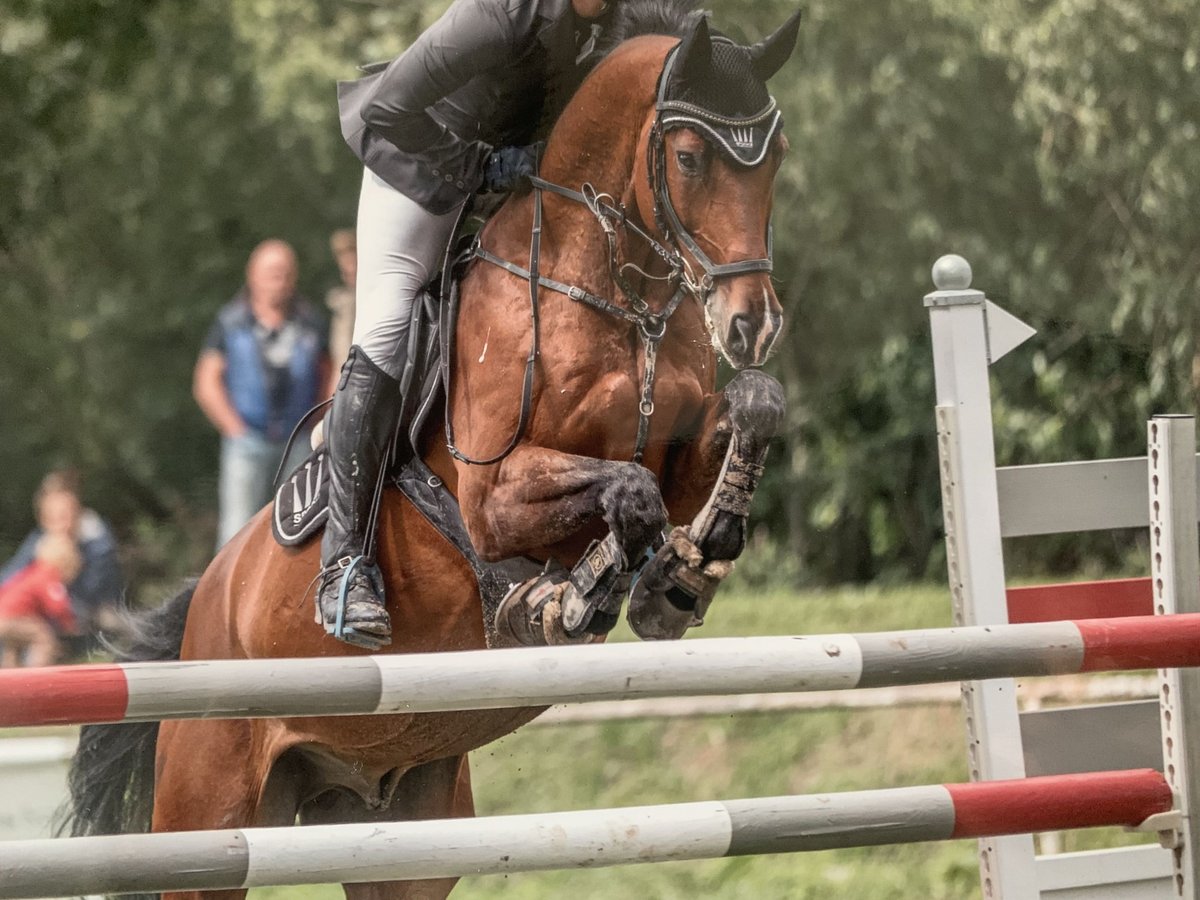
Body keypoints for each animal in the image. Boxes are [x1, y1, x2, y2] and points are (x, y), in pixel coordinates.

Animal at [63, 8, 796, 900]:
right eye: (689, 158)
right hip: (207, 826)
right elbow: (627, 494)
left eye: (776, 156)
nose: (752, 323)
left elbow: (751, 410)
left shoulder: (685, 451)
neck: (613, 296)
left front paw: (684, 575)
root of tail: (208, 594)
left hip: (404, 836)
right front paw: (573, 598)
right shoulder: (493, 498)